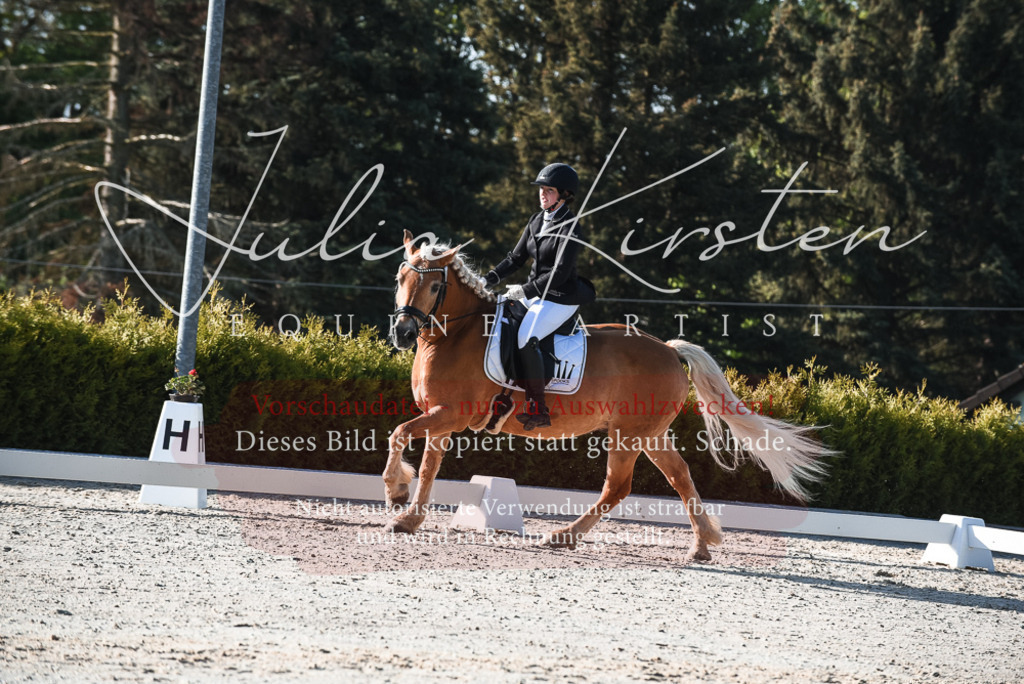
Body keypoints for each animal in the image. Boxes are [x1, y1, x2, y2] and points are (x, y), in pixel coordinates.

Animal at [384, 230, 829, 561]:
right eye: (400, 279)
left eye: (435, 285)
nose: (403, 333)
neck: (455, 336)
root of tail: (669, 350)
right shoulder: (441, 417)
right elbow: (428, 466)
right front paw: (408, 518)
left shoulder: (452, 413)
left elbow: (399, 433)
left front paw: (395, 492)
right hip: (651, 433)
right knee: (680, 476)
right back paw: (702, 545)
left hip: (628, 434)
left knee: (618, 487)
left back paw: (563, 536)